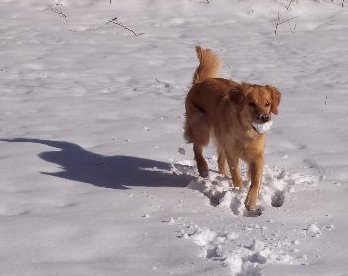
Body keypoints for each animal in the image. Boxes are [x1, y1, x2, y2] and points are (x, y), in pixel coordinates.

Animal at [184, 46, 282, 210]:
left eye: (268, 104)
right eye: (252, 103)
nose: (265, 117)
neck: (246, 131)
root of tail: (200, 81)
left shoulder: (257, 156)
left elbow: (255, 181)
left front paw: (250, 201)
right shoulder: (233, 153)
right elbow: (236, 174)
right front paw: (239, 190)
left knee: (219, 158)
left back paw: (222, 174)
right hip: (201, 125)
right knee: (197, 147)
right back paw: (203, 168)